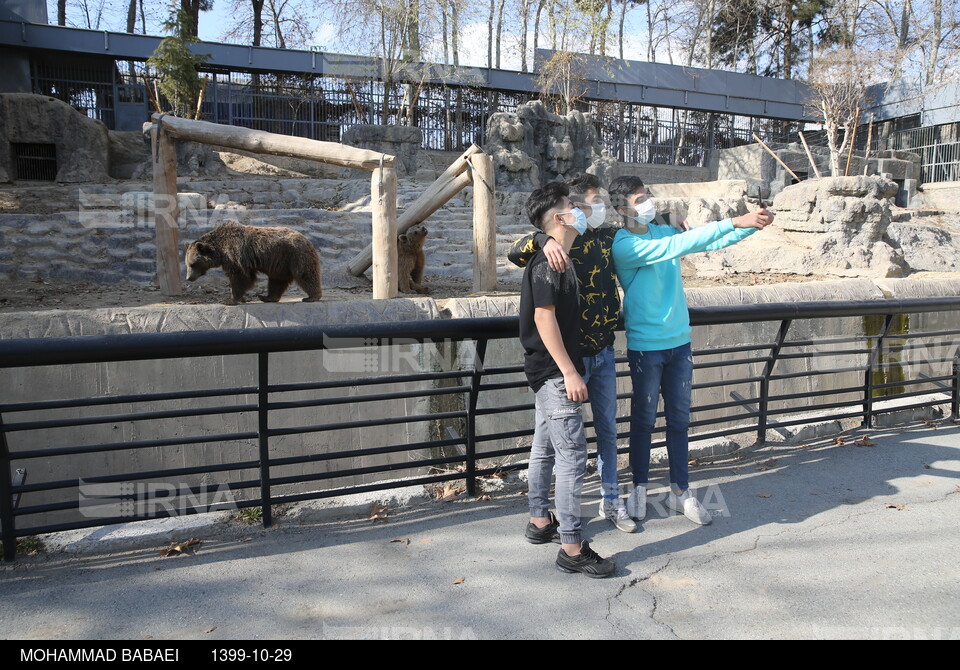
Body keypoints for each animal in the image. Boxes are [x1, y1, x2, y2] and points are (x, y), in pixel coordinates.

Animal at [186, 222, 324, 306]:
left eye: (192, 264)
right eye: (187, 264)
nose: (188, 278)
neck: (219, 249)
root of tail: (307, 240)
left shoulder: (234, 255)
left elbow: (240, 277)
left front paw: (229, 300)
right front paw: (240, 298)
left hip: (295, 256)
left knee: (305, 274)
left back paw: (311, 297)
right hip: (281, 264)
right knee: (277, 281)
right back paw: (267, 297)